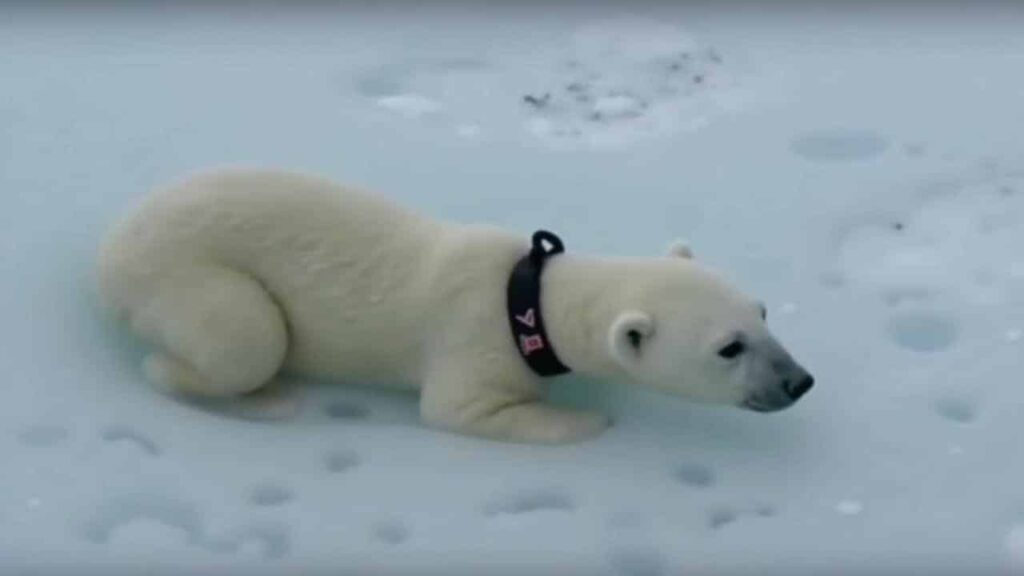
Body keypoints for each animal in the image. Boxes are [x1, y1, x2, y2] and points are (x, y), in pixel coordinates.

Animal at [97, 168, 814, 444]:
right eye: (728, 348)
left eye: (762, 313)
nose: (798, 381)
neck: (527, 300)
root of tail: (111, 251)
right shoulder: (474, 345)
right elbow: (457, 410)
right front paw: (586, 420)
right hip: (186, 271)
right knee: (241, 340)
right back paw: (266, 398)